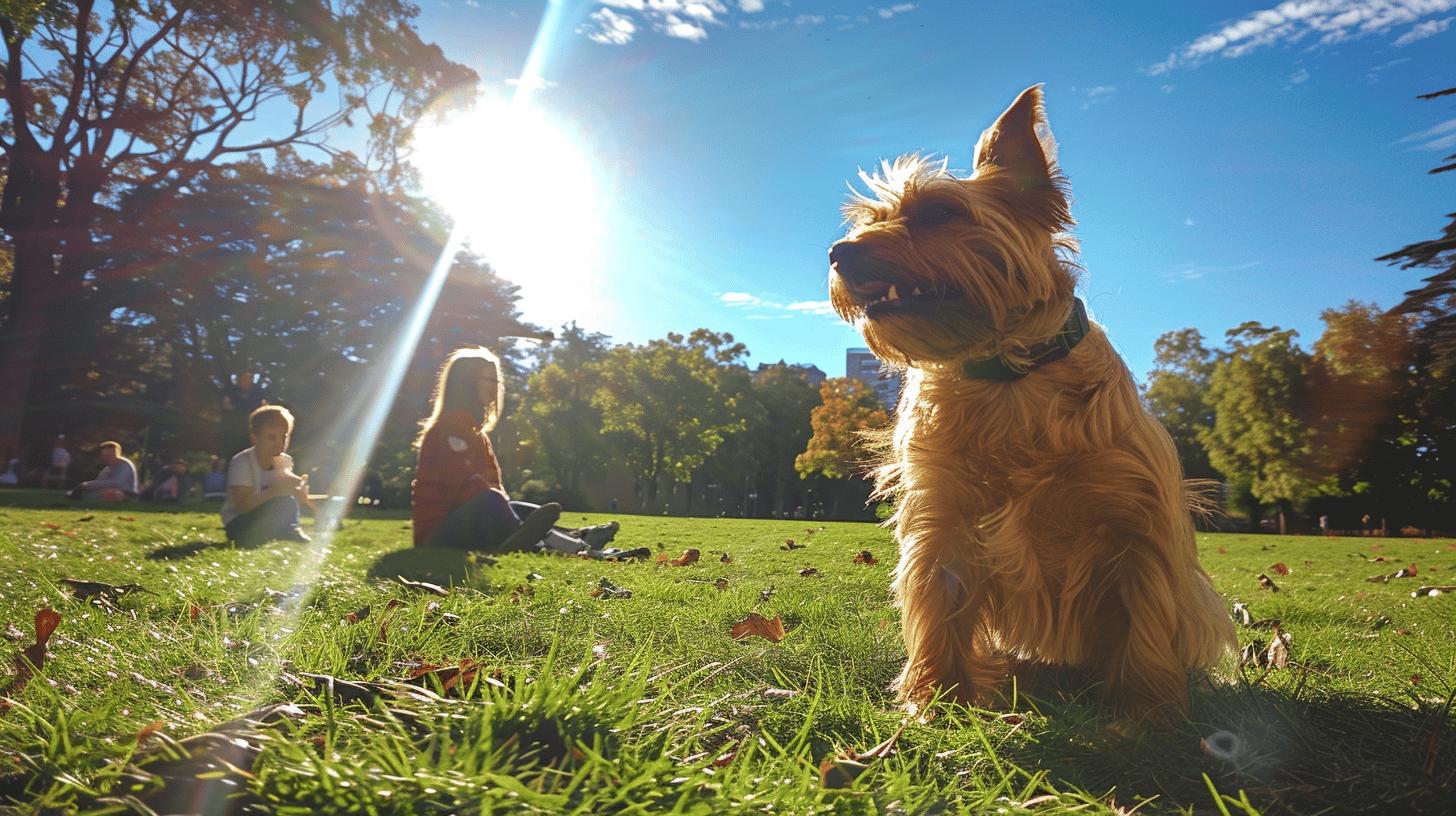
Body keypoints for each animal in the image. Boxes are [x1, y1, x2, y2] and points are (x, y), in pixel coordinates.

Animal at [832, 84, 1228, 725]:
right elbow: (937, 611)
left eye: (939, 213)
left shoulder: (1134, 525)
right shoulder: (942, 519)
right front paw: (935, 701)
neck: (1007, 376)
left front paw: (1147, 713)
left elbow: (1144, 622)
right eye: (872, 219)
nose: (837, 252)